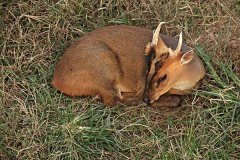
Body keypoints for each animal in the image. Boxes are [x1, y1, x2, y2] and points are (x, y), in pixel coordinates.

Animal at [52, 22, 204, 107]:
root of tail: (56, 81)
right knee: (113, 100)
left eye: (163, 77)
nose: (147, 98)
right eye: (148, 70)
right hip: (104, 68)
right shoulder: (141, 84)